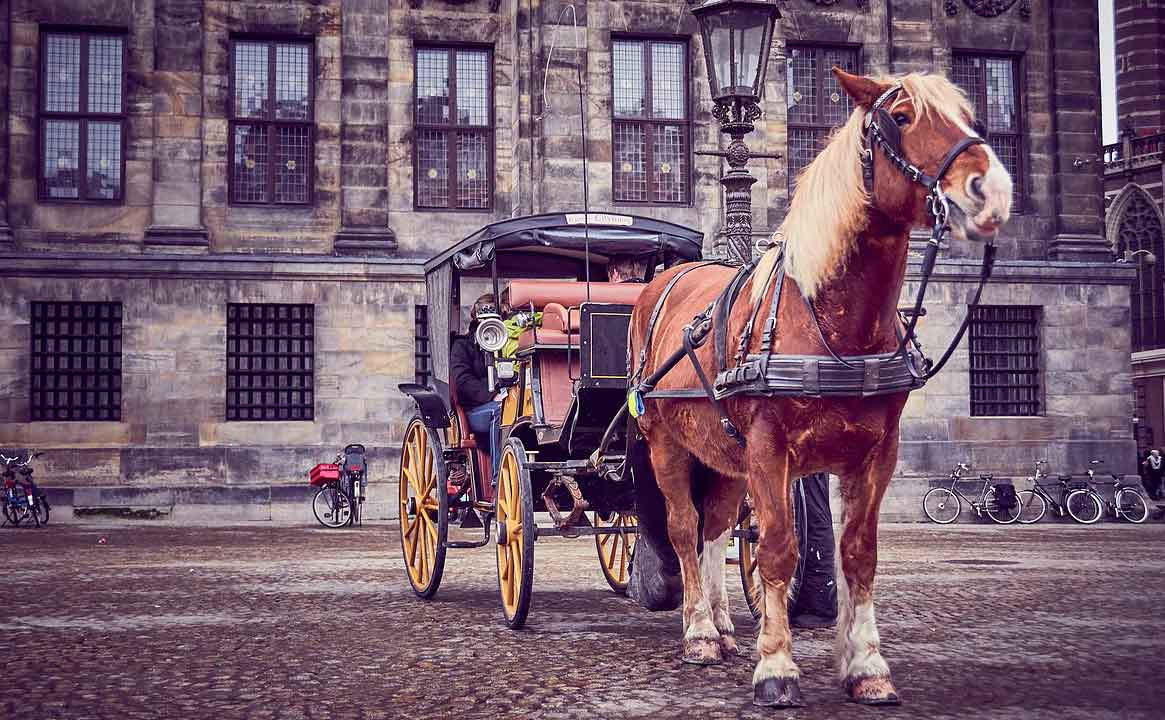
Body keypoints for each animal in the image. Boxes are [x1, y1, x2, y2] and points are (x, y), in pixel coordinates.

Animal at [626, 68, 1013, 707]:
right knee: (683, 529)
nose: (992, 190)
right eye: (901, 118)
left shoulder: (875, 452)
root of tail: (664, 282)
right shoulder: (769, 449)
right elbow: (779, 549)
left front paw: (866, 666)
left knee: (713, 530)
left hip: (725, 457)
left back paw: (724, 626)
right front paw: (776, 667)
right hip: (666, 442)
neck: (831, 319)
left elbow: (857, 554)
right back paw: (700, 633)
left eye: (970, 116)